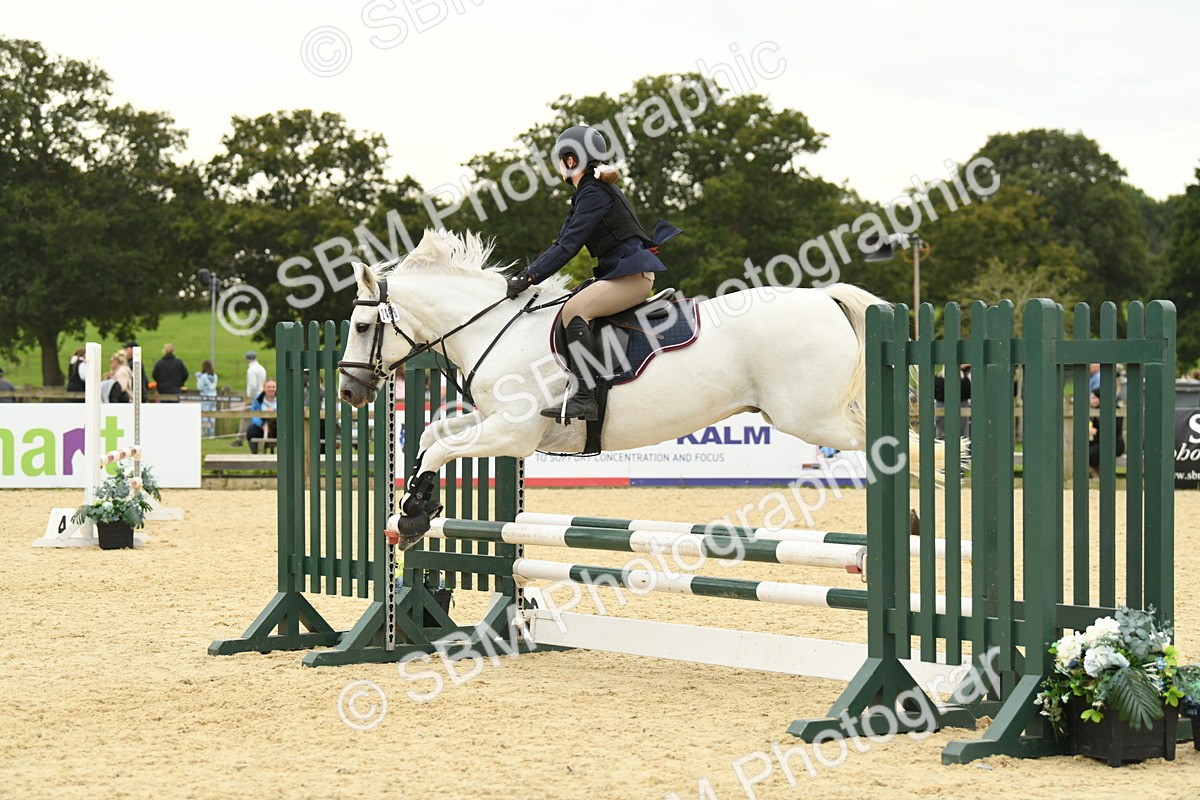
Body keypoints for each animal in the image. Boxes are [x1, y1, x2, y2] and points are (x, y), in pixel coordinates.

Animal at [337, 229, 912, 544]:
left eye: (363, 326)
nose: (349, 392)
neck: (494, 327)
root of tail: (824, 297)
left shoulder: (513, 435)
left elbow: (441, 449)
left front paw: (412, 518)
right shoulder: (499, 423)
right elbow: (432, 437)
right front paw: (420, 504)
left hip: (810, 416)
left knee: (896, 441)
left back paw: (907, 517)